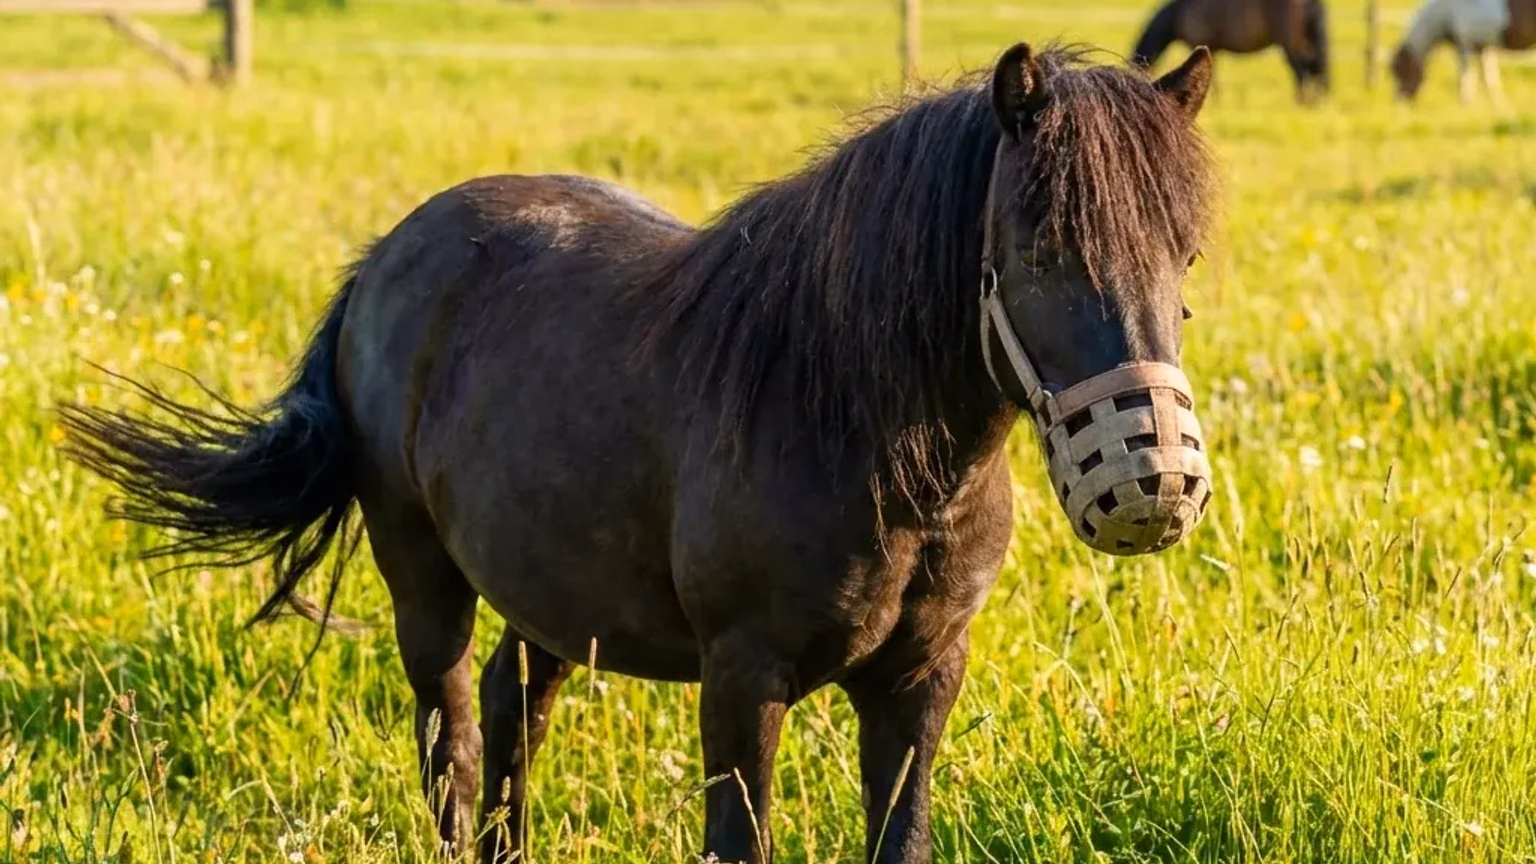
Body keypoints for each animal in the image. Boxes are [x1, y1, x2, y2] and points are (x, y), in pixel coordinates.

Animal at [58, 43, 1219, 864]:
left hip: (553, 594)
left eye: (1184, 252)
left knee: (510, 713)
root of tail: (386, 256)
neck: (858, 431)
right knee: (453, 737)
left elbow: (902, 840)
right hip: (420, 574)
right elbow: (736, 844)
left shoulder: (922, 679)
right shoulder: (742, 681)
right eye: (1038, 247)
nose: (1154, 481)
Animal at [1133, 0, 1330, 103]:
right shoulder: (1213, 48)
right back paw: (1317, 100)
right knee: (1316, 66)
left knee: (1300, 68)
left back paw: (1301, 100)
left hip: (1288, 41)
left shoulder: (1203, 45)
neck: (1180, 14)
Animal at [1391, 0, 1536, 108]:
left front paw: (1465, 104)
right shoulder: (1485, 48)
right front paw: (1498, 106)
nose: (1400, 102)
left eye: (1400, 71)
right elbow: (1489, 79)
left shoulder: (1465, 46)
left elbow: (1465, 77)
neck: (1448, 11)